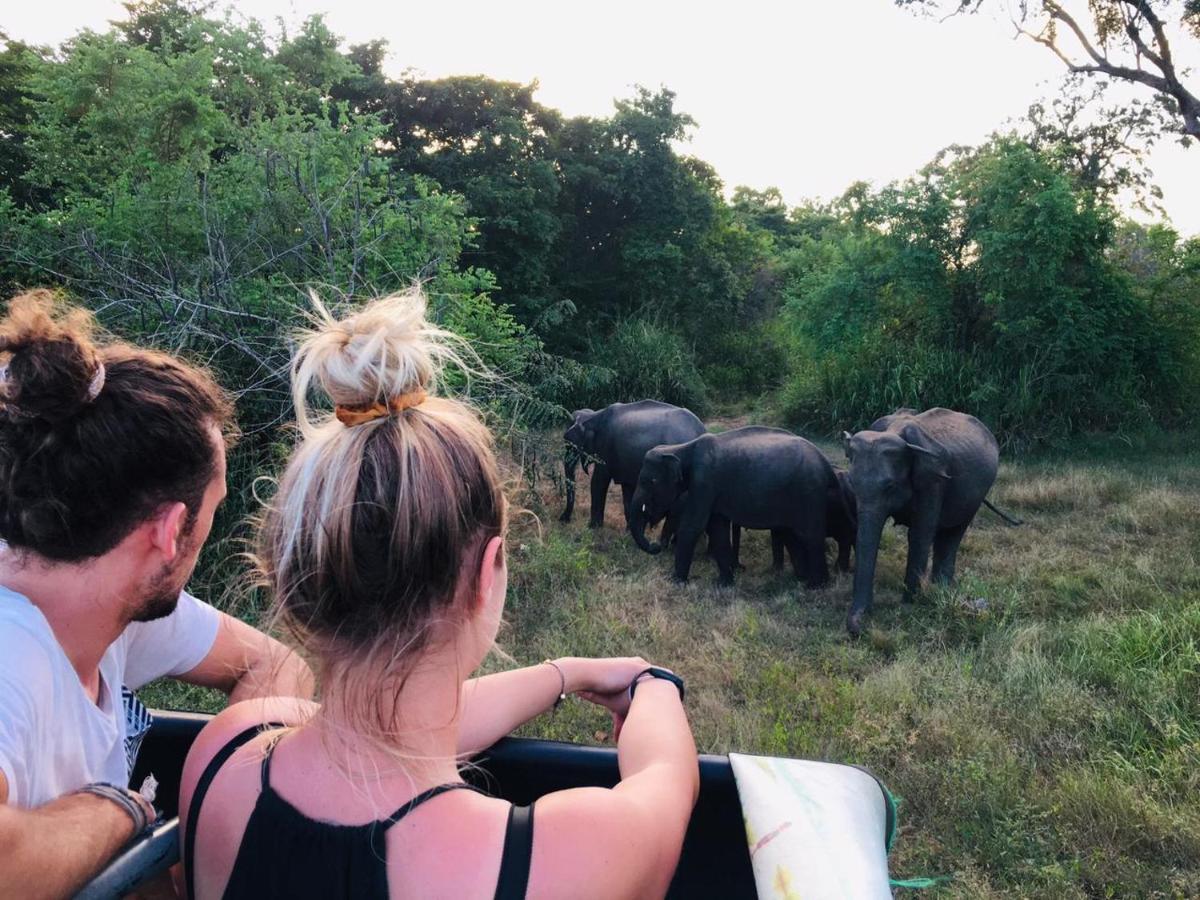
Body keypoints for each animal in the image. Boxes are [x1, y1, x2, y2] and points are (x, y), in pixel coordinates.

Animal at [559, 400, 705, 532]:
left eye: (571, 445)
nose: (563, 520)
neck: (594, 414)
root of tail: (701, 429)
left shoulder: (605, 447)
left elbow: (598, 481)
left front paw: (592, 528)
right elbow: (627, 489)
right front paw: (629, 531)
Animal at [633, 429, 840, 592]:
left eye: (648, 482)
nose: (655, 545)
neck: (681, 448)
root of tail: (826, 465)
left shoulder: (704, 481)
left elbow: (693, 525)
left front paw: (675, 582)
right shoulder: (711, 489)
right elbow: (718, 529)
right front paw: (723, 584)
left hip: (809, 492)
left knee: (810, 534)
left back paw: (815, 586)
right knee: (792, 534)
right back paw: (801, 579)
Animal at [840, 408, 1017, 643]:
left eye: (890, 486)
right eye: (851, 482)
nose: (864, 627)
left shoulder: (933, 479)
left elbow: (920, 533)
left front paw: (908, 606)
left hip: (978, 494)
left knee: (954, 532)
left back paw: (941, 589)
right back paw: (939, 589)